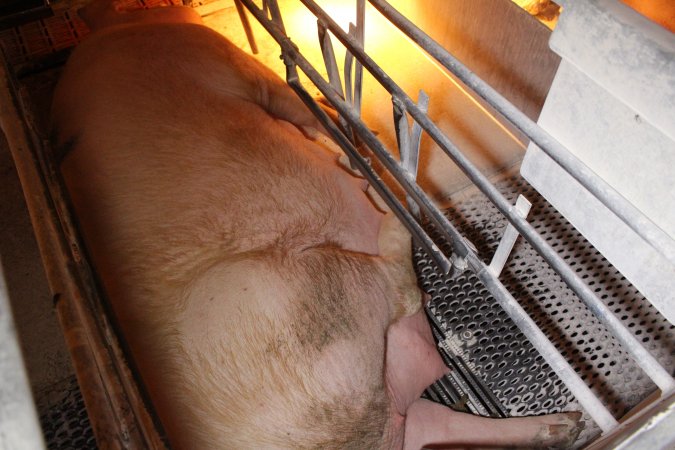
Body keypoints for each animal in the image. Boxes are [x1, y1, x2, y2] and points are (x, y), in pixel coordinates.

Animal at [50, 1, 584, 448]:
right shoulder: (237, 66)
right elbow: (287, 94)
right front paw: (330, 129)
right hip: (305, 295)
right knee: (401, 289)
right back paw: (384, 203)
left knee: (439, 422)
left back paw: (567, 425)